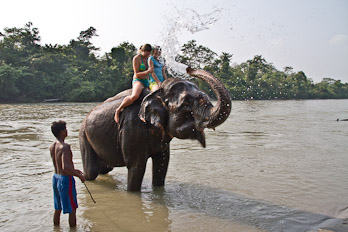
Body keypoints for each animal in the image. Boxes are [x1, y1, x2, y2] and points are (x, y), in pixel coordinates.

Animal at [79, 67, 231, 190]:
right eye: (186, 102)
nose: (189, 69)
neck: (157, 93)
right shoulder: (132, 128)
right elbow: (136, 167)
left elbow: (162, 164)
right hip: (84, 136)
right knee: (91, 171)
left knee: (106, 168)